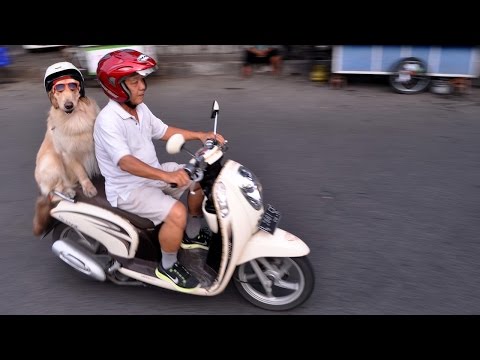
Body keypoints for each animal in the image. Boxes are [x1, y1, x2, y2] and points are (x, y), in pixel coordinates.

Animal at [32, 62, 100, 236]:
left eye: (73, 87)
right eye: (59, 89)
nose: (68, 105)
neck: (74, 117)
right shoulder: (68, 153)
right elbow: (81, 172)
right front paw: (88, 187)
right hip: (51, 161)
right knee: (54, 190)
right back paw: (67, 191)